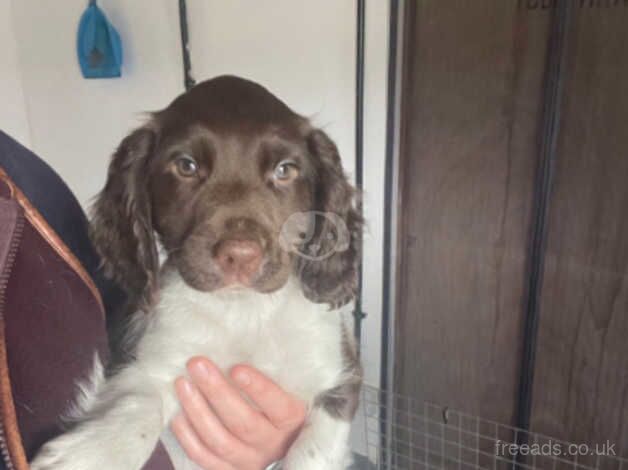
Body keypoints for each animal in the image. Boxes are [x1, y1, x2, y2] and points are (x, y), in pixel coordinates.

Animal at [29, 75, 364, 468]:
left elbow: (312, 451)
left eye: (285, 170)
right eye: (186, 166)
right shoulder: (151, 360)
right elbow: (141, 402)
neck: (244, 312)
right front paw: (95, 453)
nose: (241, 255)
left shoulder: (337, 377)